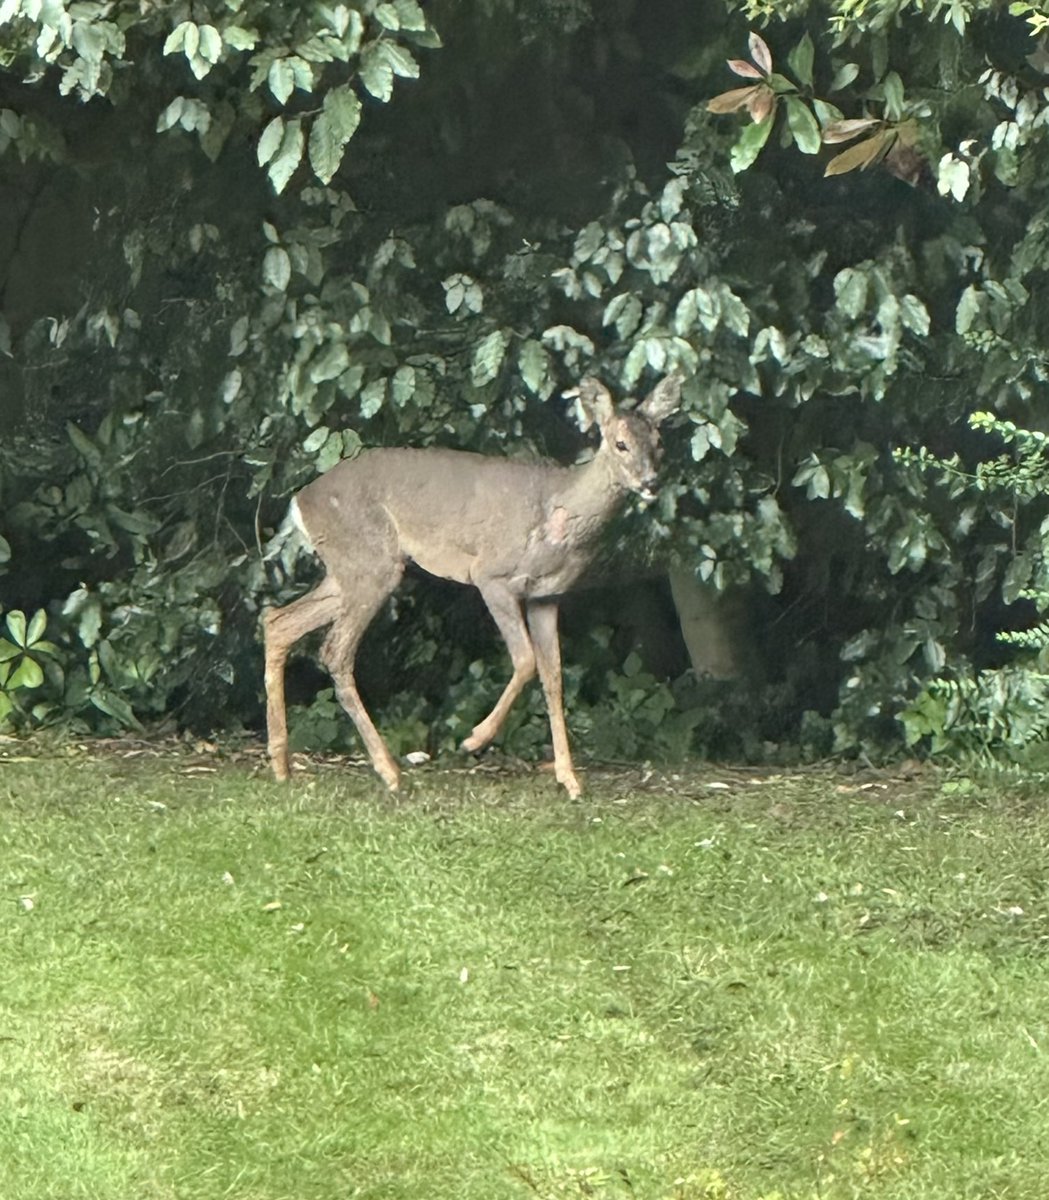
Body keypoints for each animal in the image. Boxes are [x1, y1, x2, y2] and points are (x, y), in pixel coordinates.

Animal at [263, 373, 682, 798]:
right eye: (620, 443)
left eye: (660, 442)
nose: (650, 482)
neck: (559, 516)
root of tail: (299, 502)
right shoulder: (492, 575)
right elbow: (526, 660)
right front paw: (474, 739)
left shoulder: (547, 595)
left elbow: (554, 678)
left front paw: (569, 778)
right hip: (370, 562)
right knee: (334, 650)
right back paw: (389, 771)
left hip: (349, 570)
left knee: (277, 621)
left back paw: (282, 765)